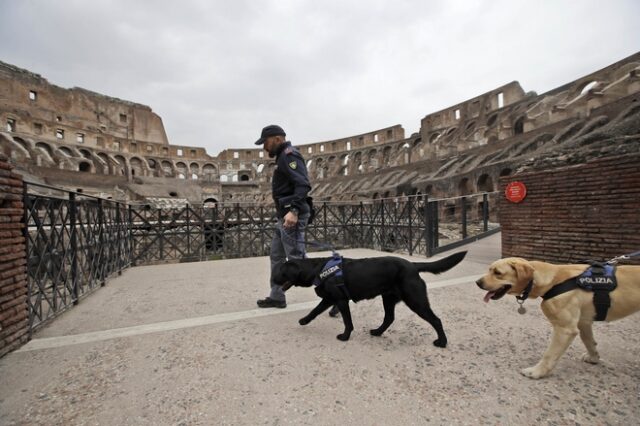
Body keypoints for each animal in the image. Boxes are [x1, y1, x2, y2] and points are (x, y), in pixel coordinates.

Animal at [272, 250, 468, 346]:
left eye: (281, 272)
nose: (272, 279)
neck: (317, 269)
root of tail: (413, 265)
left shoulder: (340, 300)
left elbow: (347, 322)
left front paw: (345, 336)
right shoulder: (329, 299)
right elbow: (315, 310)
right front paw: (304, 320)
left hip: (415, 299)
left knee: (436, 320)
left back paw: (442, 342)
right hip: (388, 298)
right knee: (389, 318)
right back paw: (378, 332)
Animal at [476, 258, 640, 378]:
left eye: (497, 272)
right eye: (490, 270)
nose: (477, 282)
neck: (552, 280)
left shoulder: (565, 329)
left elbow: (549, 354)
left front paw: (537, 372)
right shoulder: (583, 322)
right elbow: (589, 342)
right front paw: (594, 358)